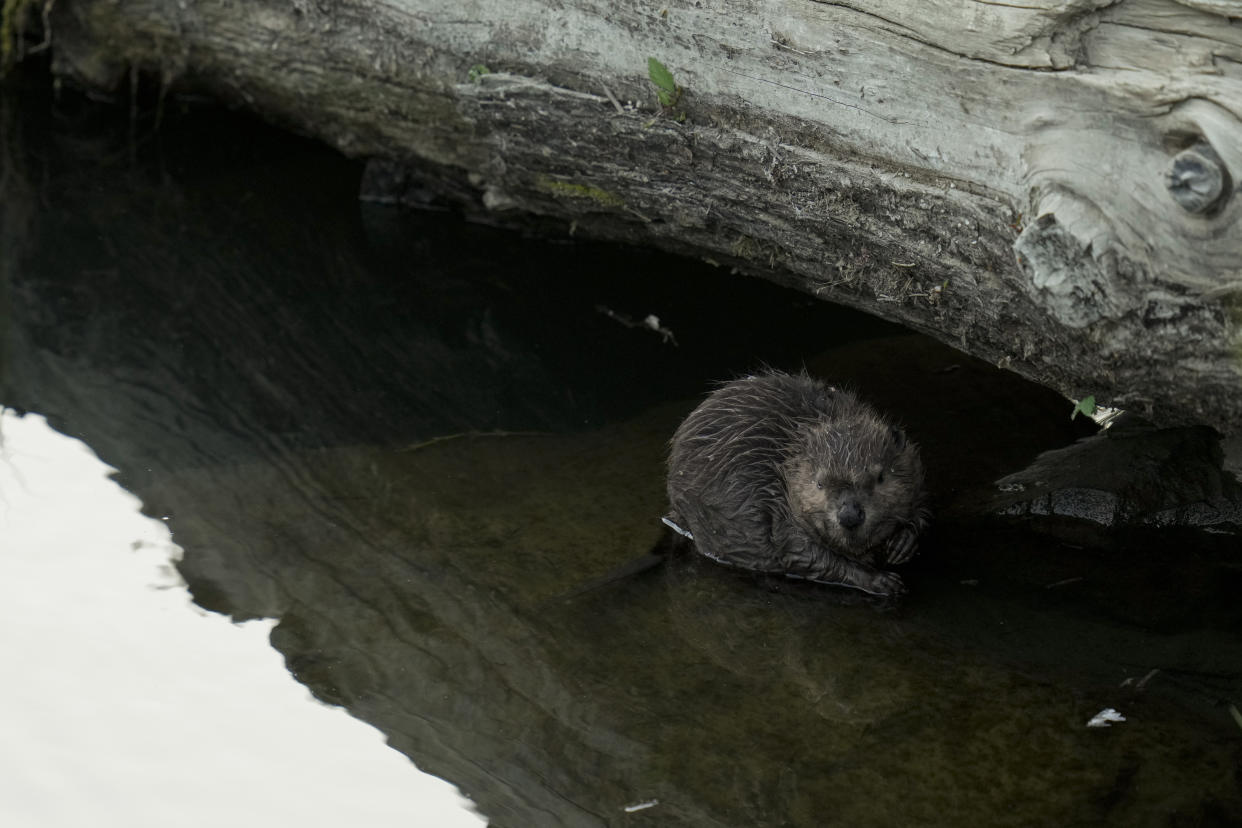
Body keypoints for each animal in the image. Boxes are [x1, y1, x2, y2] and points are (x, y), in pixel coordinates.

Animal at [665, 369, 929, 595]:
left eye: (880, 477)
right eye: (819, 483)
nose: (850, 516)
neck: (781, 469)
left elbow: (921, 505)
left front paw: (902, 543)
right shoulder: (774, 513)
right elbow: (805, 555)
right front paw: (883, 581)